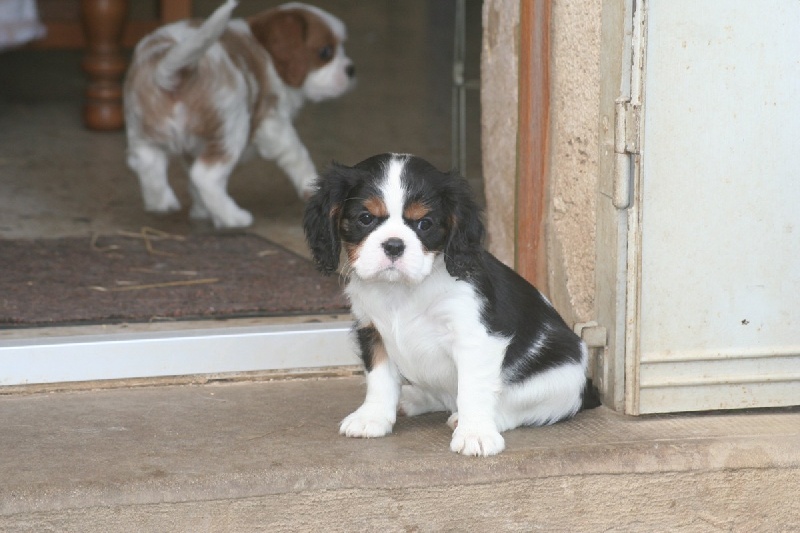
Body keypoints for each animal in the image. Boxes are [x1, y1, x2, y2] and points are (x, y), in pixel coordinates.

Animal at [123, 0, 354, 227]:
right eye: (325, 52)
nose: (351, 69)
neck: (264, 50)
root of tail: (173, 73)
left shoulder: (193, 149)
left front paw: (202, 211)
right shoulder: (272, 123)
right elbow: (297, 153)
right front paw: (310, 185)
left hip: (143, 129)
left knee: (146, 160)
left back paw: (161, 203)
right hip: (232, 127)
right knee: (205, 176)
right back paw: (233, 217)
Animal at [306, 155, 600, 458]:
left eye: (425, 223)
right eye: (365, 218)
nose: (394, 245)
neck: (401, 290)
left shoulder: (474, 338)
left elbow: (472, 388)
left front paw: (475, 434)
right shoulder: (371, 330)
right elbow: (379, 378)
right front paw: (372, 417)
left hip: (558, 381)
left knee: (519, 408)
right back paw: (411, 398)